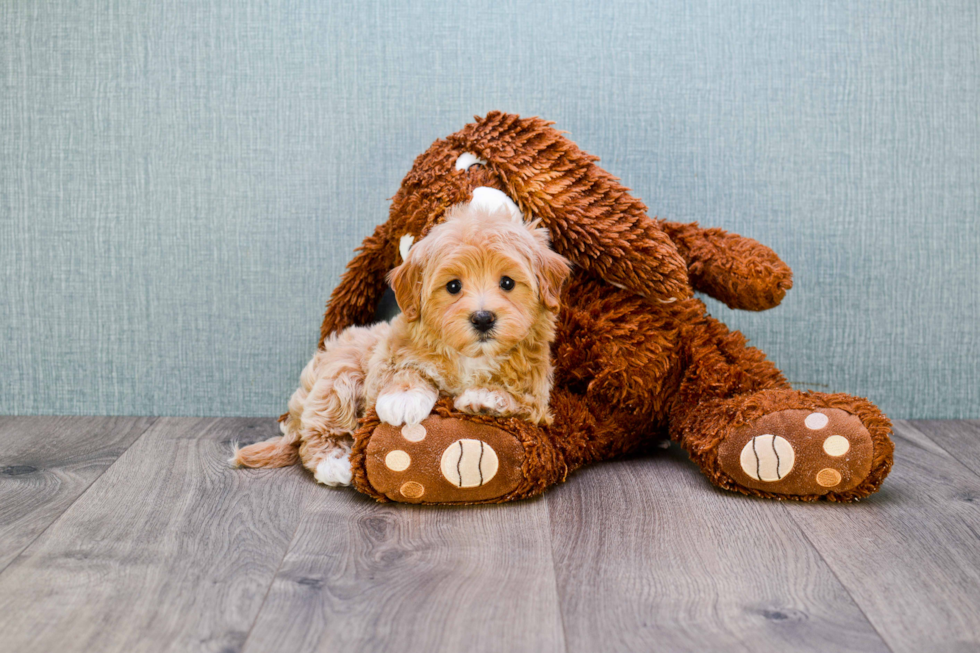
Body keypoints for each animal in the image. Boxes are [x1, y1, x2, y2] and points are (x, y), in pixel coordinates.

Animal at [233, 199, 572, 484]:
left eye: (507, 282)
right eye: (453, 286)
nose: (483, 318)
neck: (471, 357)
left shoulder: (539, 395)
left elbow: (520, 400)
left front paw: (487, 398)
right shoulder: (388, 352)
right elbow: (404, 368)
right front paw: (404, 396)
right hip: (338, 376)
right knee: (317, 430)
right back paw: (335, 464)